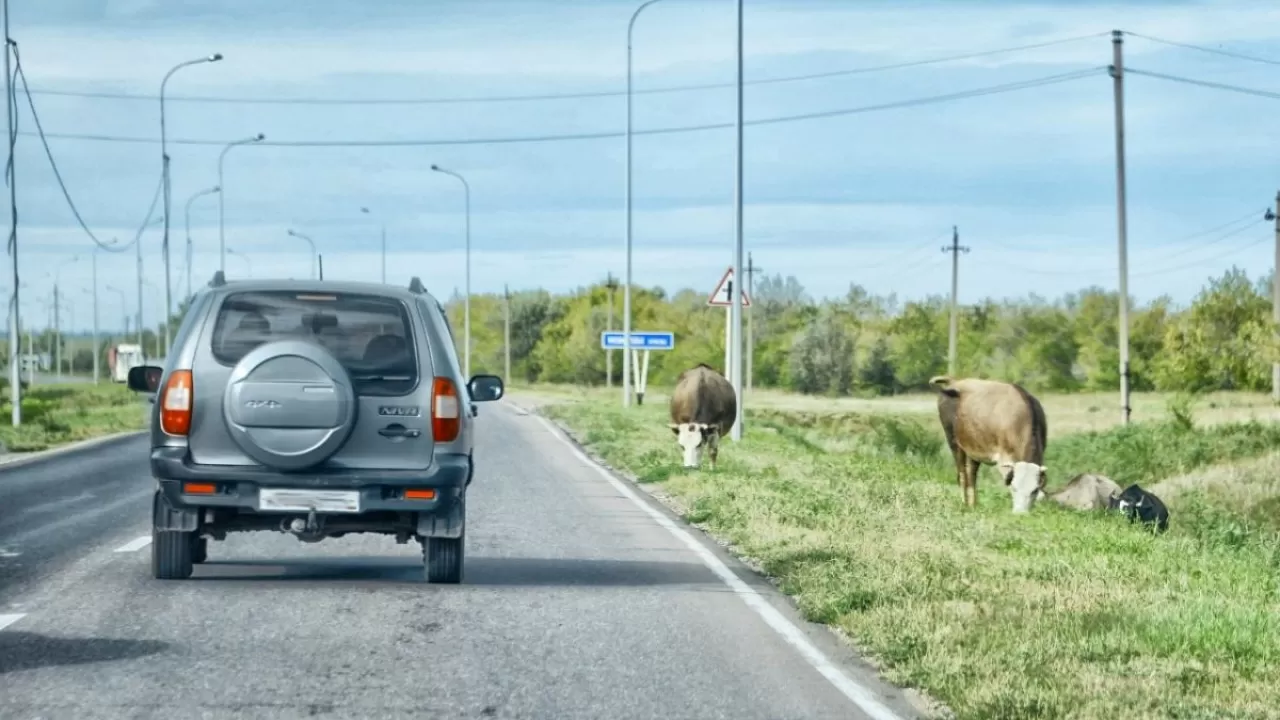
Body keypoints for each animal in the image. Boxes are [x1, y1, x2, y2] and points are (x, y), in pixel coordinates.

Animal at [931, 376, 1049, 509]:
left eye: (1034, 490)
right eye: (1014, 488)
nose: (1020, 512)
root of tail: (955, 381)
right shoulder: (1003, 458)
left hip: (974, 446)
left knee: (971, 474)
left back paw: (973, 505)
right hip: (953, 440)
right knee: (962, 474)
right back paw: (964, 503)